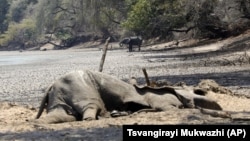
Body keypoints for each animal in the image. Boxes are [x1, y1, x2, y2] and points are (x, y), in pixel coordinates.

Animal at [33, 69, 223, 123]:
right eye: (199, 91)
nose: (219, 105)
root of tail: (52, 85)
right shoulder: (161, 99)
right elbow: (171, 108)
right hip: (81, 87)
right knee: (91, 107)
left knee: (64, 115)